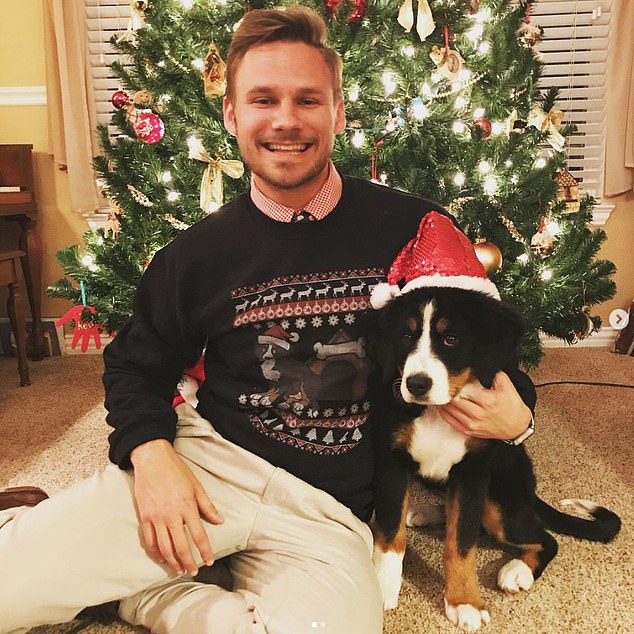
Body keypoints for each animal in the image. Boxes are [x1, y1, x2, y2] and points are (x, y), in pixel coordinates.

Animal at [368, 288, 620, 632]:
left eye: (451, 340)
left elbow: (461, 544)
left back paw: (517, 571)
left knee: (544, 539)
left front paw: (464, 602)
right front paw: (382, 587)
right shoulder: (392, 464)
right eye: (406, 336)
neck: (439, 412)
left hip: (499, 503)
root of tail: (529, 492)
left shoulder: (472, 474)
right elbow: (391, 536)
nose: (417, 384)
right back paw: (426, 512)